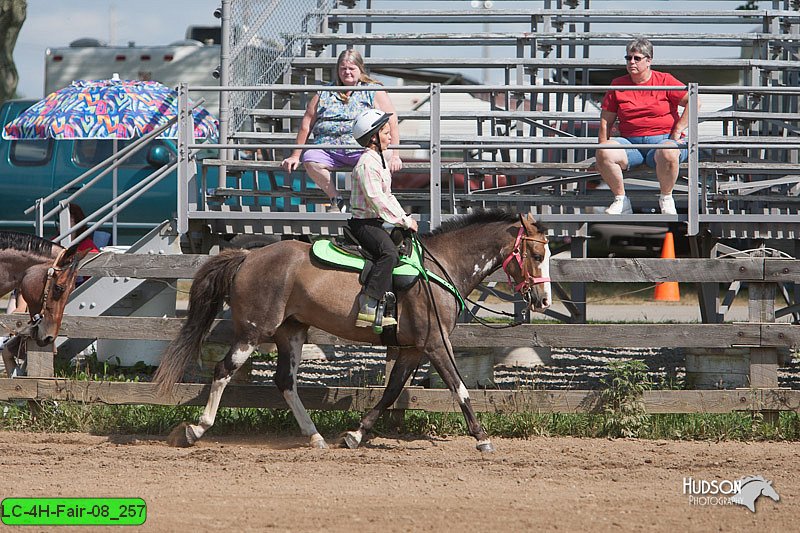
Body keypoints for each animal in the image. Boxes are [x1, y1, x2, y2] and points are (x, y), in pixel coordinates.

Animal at [155, 210, 552, 450]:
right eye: (535, 255)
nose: (543, 299)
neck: (439, 268)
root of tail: (248, 256)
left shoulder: (412, 349)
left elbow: (391, 391)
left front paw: (356, 434)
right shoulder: (436, 344)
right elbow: (460, 388)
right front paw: (482, 438)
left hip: (291, 331)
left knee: (285, 381)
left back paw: (315, 436)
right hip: (253, 331)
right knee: (224, 371)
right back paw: (195, 429)